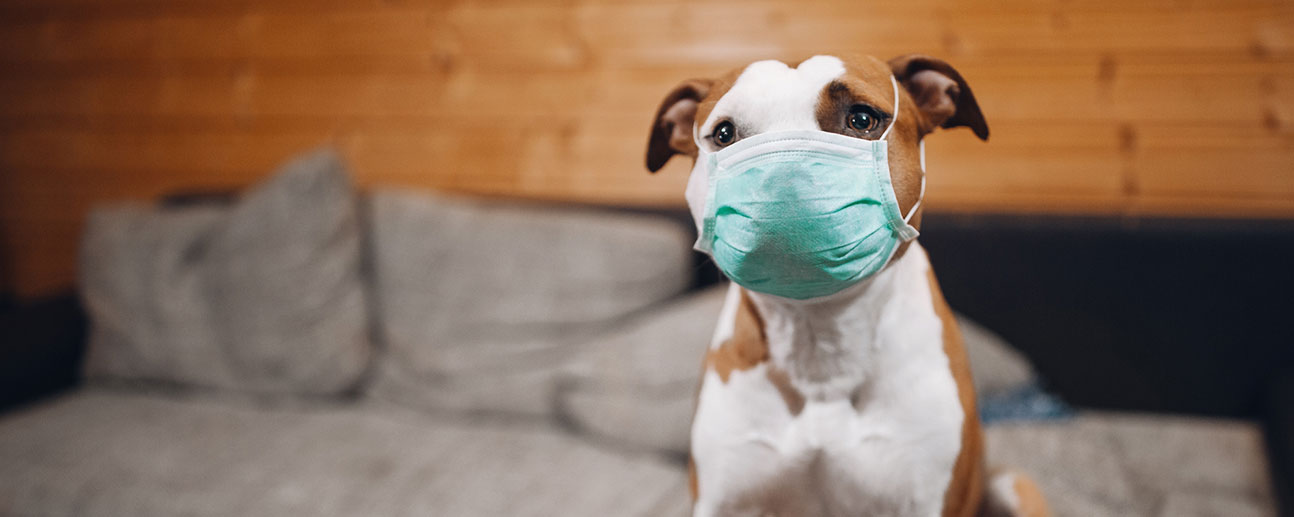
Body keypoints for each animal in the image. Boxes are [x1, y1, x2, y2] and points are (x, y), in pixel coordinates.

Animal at [641, 53, 1045, 517]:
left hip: (1012, 485)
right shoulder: (721, 498)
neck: (820, 338)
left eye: (862, 118)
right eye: (724, 133)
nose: (784, 179)